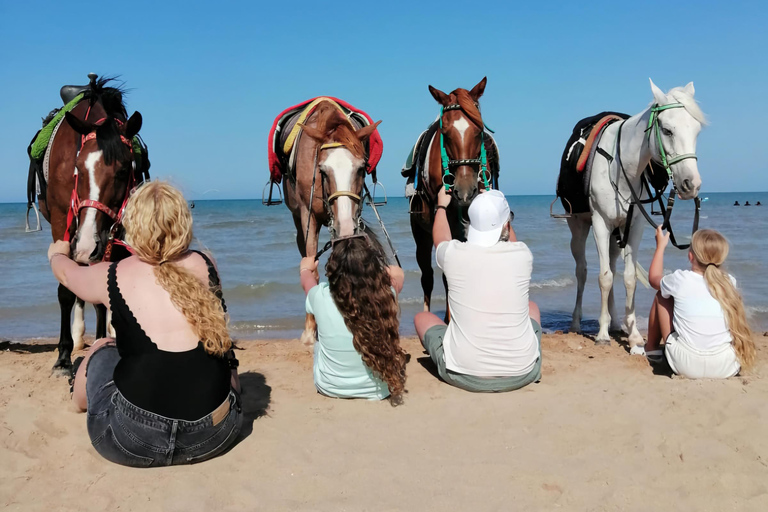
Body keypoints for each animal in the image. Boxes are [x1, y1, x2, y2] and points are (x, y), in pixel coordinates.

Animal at [38, 77, 145, 374]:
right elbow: (67, 291)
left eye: (124, 170)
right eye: (78, 167)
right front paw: (63, 358)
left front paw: (107, 340)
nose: (87, 243)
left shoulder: (115, 229)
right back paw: (76, 339)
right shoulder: (63, 224)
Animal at [280, 99, 381, 345]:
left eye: (362, 168)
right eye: (323, 171)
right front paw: (310, 331)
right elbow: (312, 271)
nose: (345, 226)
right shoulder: (308, 217)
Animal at [560, 79, 704, 354]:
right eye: (667, 130)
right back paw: (576, 323)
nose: (691, 185)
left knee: (613, 266)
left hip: (618, 234)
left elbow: (627, 278)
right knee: (582, 270)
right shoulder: (600, 224)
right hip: (578, 226)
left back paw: (616, 323)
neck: (620, 166)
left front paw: (634, 335)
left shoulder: (634, 226)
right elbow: (603, 277)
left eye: (696, 131)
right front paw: (602, 335)